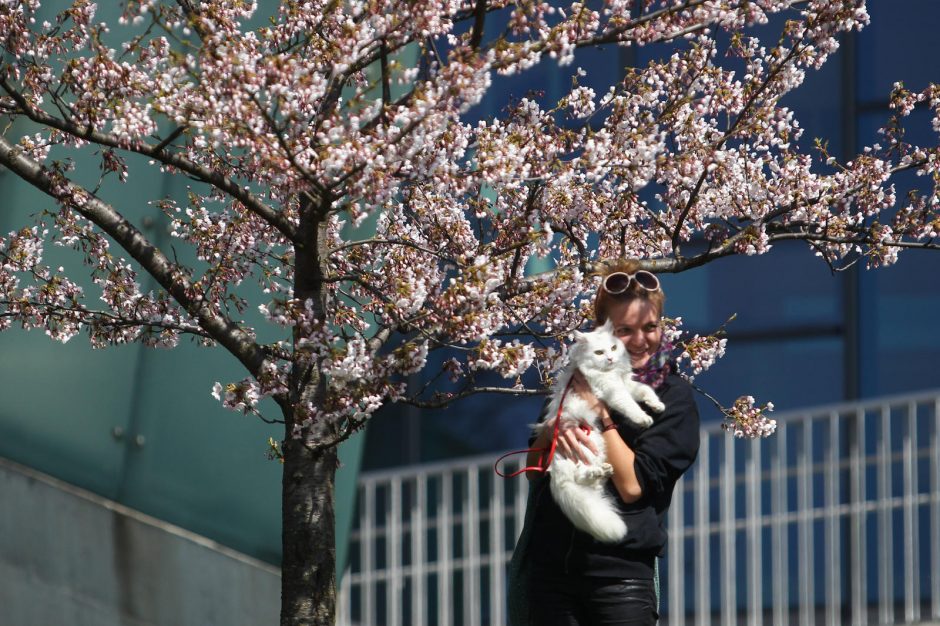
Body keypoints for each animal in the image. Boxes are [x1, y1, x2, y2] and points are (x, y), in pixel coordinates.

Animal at [536, 316, 668, 540]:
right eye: (599, 353)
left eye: (613, 348)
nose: (611, 359)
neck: (611, 372)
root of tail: (555, 474)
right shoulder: (614, 390)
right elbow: (630, 406)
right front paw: (644, 418)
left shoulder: (626, 384)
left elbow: (645, 390)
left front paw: (657, 405)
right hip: (583, 450)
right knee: (579, 476)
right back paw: (597, 472)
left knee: (589, 481)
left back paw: (603, 471)